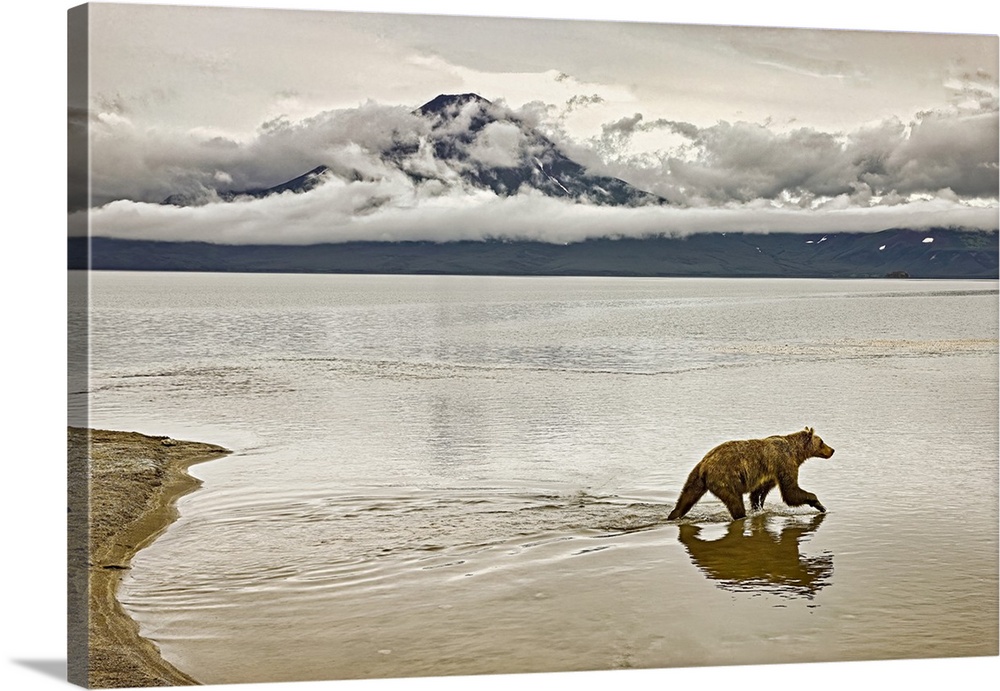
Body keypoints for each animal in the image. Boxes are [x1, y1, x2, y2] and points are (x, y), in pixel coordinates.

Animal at [668, 428, 832, 520]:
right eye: (822, 441)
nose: (832, 450)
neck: (796, 452)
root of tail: (705, 465)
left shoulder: (769, 474)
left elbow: (759, 492)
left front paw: (758, 507)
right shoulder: (783, 463)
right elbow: (790, 492)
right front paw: (820, 505)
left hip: (695, 478)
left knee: (686, 497)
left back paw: (673, 515)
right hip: (725, 478)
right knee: (735, 502)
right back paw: (741, 516)